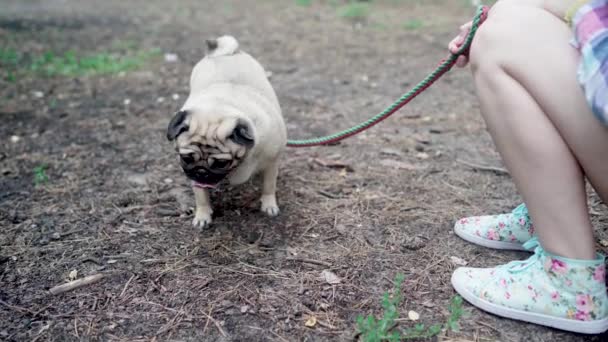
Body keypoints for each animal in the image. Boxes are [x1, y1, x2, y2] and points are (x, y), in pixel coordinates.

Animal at [166, 35, 288, 227]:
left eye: (221, 163)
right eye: (186, 159)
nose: (201, 171)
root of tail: (222, 53)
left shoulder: (271, 162)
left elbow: (269, 186)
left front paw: (269, 205)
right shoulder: (195, 180)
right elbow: (201, 197)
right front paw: (202, 215)